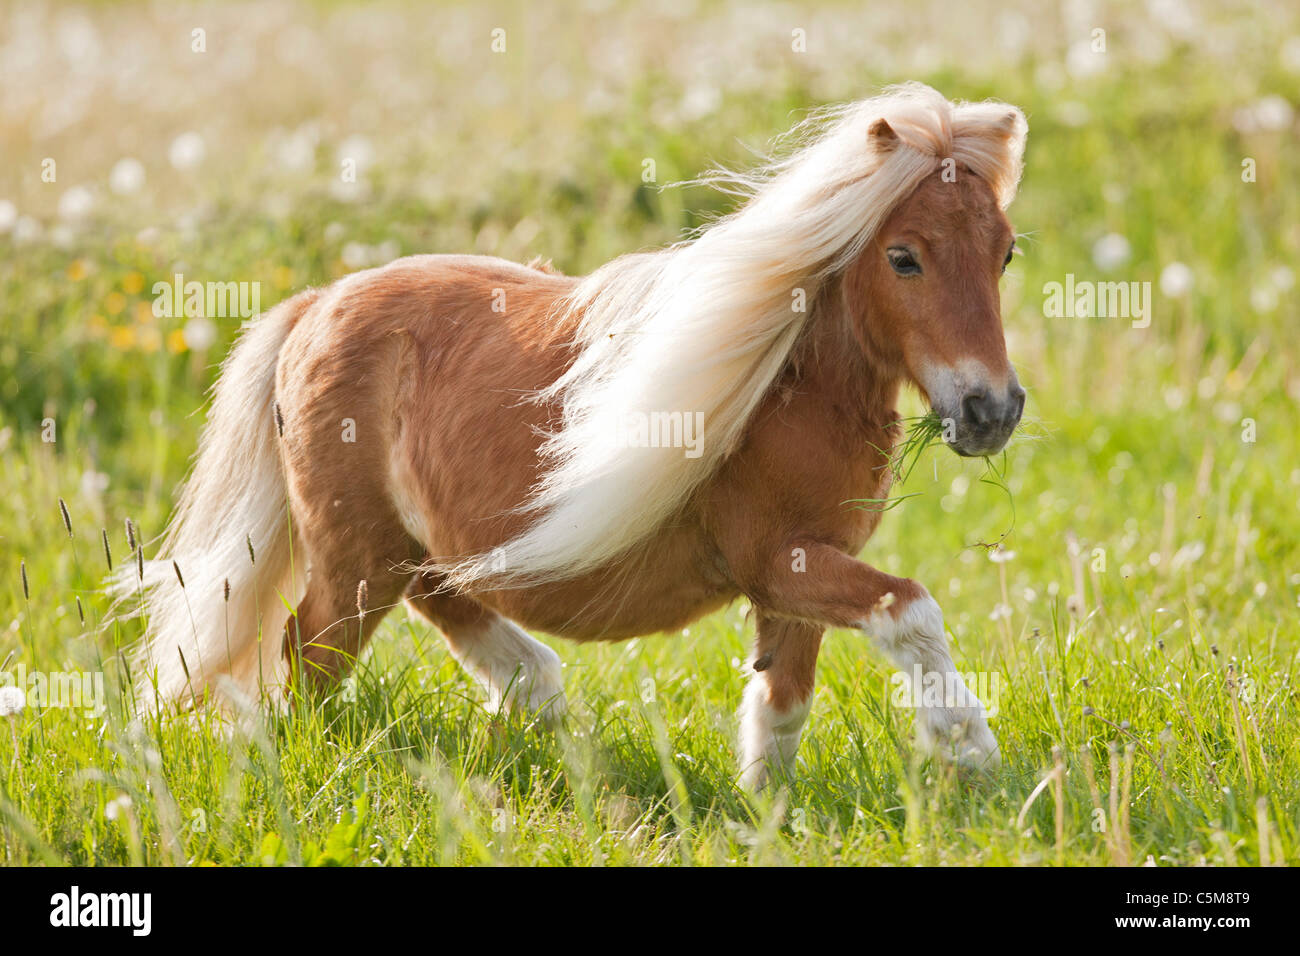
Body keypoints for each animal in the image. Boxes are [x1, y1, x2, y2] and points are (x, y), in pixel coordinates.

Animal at [119, 83, 1028, 789]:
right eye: (904, 258)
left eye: (1007, 254)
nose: (992, 411)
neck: (785, 385)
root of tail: (312, 306)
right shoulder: (781, 562)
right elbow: (911, 612)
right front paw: (974, 753)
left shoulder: (794, 581)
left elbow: (782, 707)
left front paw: (766, 814)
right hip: (353, 562)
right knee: (307, 658)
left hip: (410, 550)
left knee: (463, 622)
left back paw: (552, 727)